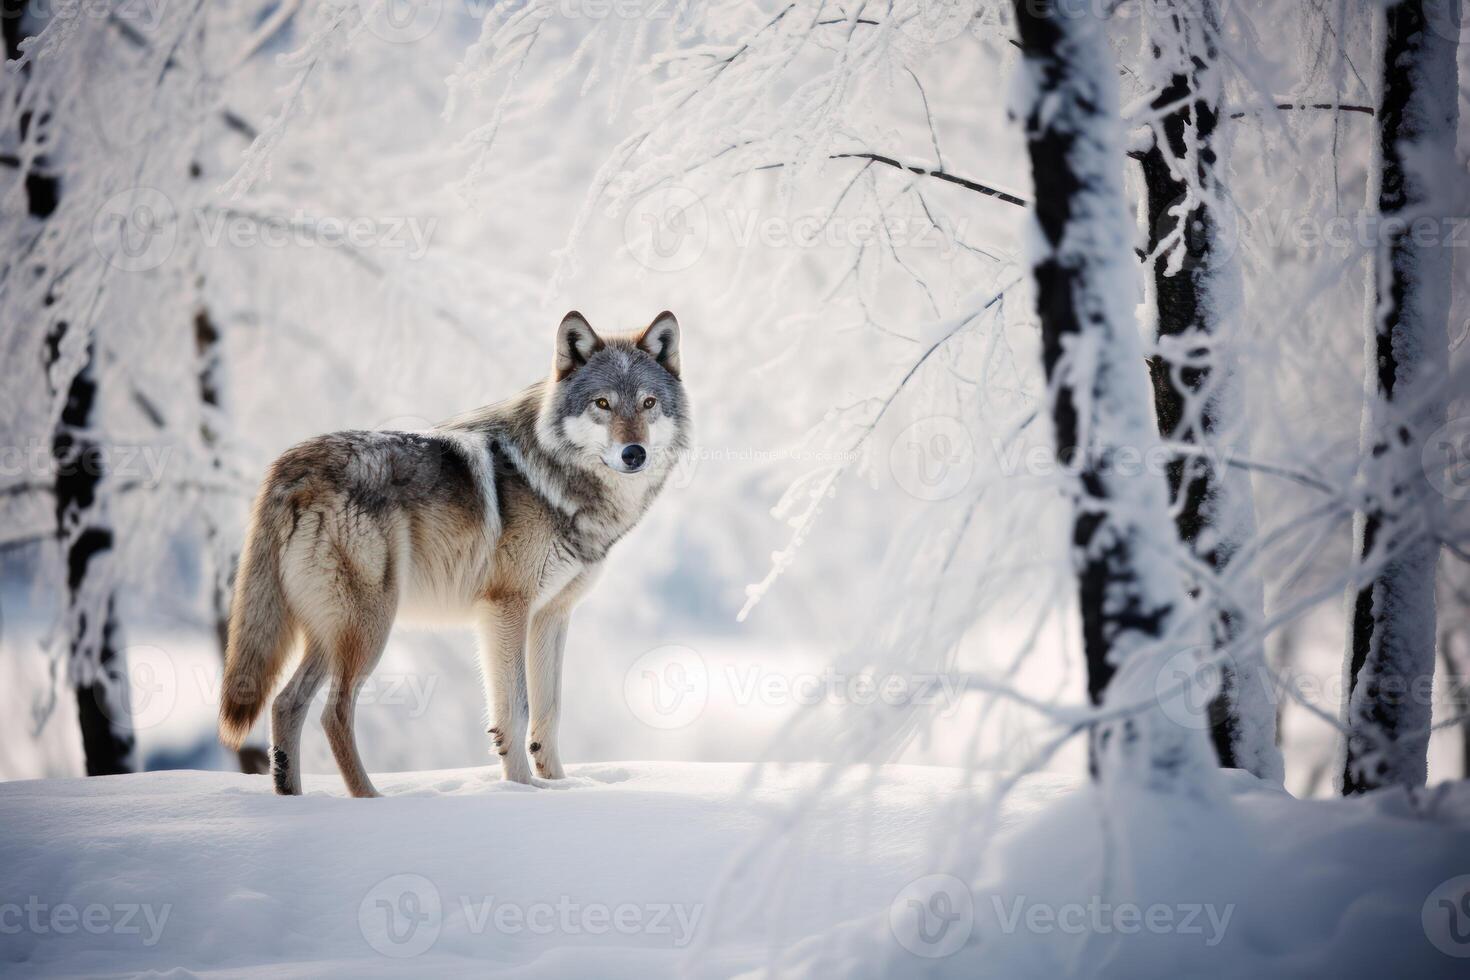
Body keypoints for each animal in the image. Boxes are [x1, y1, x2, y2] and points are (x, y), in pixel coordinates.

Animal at [217, 314, 687, 799]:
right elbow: (515, 709)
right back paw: (370, 800)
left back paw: (291, 796)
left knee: (285, 703)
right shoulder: (506, 608)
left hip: (331, 633)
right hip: (369, 625)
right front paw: (522, 790)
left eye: (648, 403)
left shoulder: (552, 614)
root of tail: (290, 466)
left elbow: (549, 712)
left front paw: (560, 785)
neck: (555, 481)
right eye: (603, 403)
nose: (634, 453)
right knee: (334, 712)